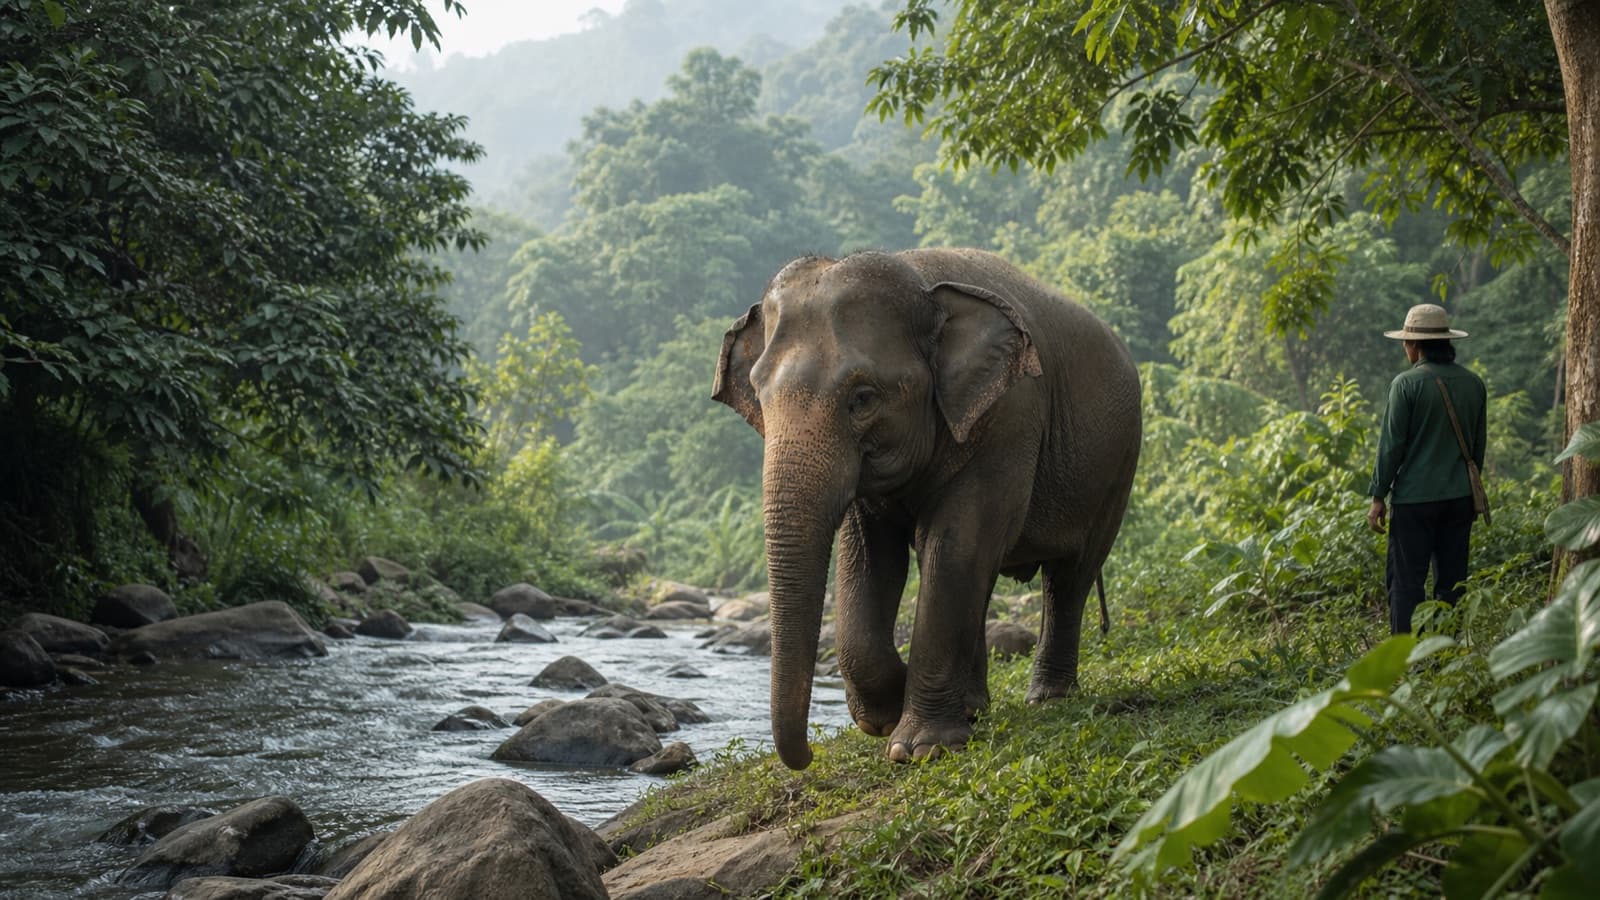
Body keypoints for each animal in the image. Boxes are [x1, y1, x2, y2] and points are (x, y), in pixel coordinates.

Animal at [712, 248, 1142, 770]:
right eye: (760, 396)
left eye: (863, 398)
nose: (807, 755)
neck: (921, 280)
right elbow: (871, 556)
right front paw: (885, 717)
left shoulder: (1011, 415)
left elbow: (957, 541)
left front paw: (919, 748)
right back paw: (975, 707)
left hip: (1118, 462)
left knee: (1070, 575)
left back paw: (1048, 699)